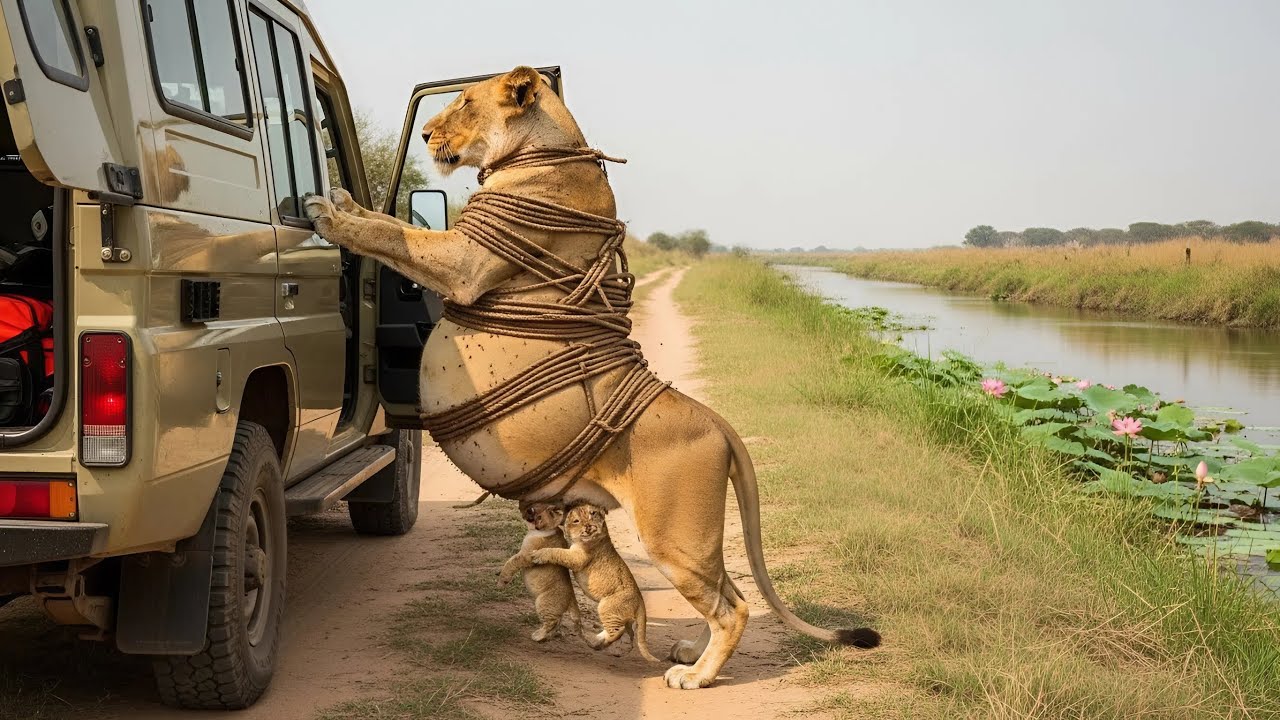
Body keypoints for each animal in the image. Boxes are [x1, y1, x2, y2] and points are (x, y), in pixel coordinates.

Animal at [303, 65, 880, 689]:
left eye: (465, 102)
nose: (429, 134)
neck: (543, 152)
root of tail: (721, 424)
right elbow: (385, 221)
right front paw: (343, 198)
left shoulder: (465, 260)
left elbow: (397, 236)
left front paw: (329, 215)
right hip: (695, 538)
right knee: (728, 589)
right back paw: (687, 650)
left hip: (672, 535)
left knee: (735, 607)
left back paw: (695, 676)